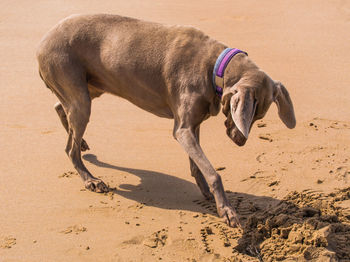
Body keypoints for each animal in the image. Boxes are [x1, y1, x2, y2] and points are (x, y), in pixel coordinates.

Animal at [37, 14, 296, 227]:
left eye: (259, 117)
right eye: (248, 114)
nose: (240, 141)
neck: (215, 67)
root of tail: (41, 44)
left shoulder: (193, 125)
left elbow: (197, 166)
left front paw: (208, 194)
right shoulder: (183, 130)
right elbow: (213, 172)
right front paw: (227, 210)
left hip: (91, 87)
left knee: (60, 108)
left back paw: (81, 143)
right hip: (77, 90)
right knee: (69, 147)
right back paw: (90, 179)